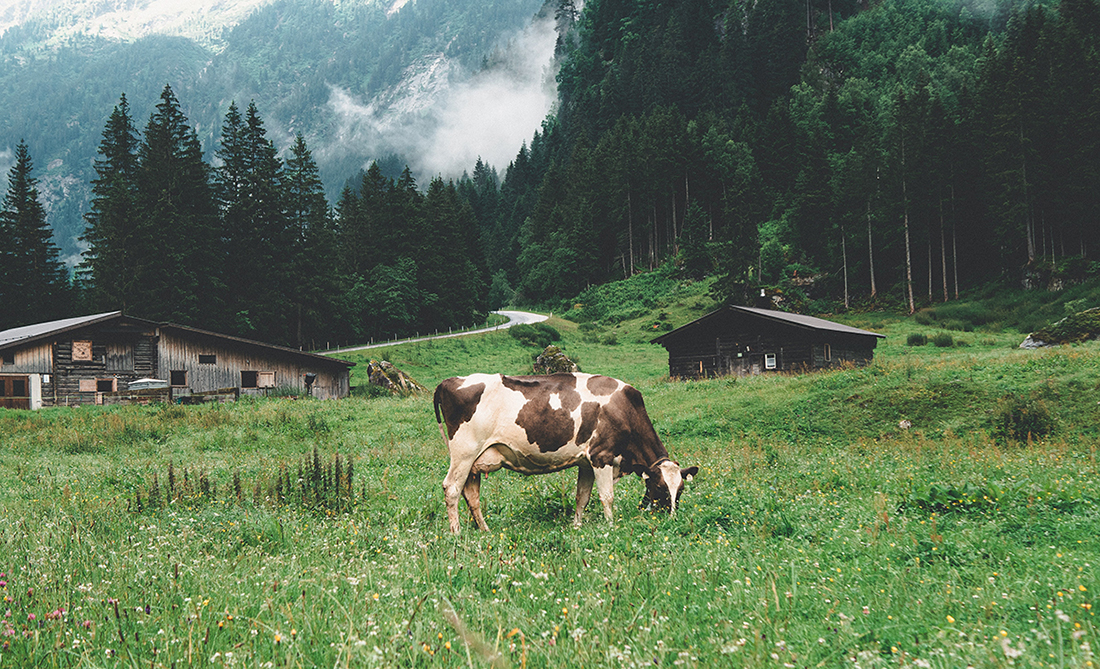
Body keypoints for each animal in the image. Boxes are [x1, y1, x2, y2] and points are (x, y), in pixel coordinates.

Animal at [435, 372, 697, 533]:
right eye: (660, 487)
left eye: (681, 489)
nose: (672, 518)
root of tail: (449, 381)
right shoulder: (601, 456)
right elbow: (607, 496)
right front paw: (610, 526)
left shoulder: (586, 463)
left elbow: (582, 497)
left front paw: (577, 525)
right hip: (464, 453)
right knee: (452, 489)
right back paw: (456, 533)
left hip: (474, 462)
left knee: (471, 494)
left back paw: (485, 529)